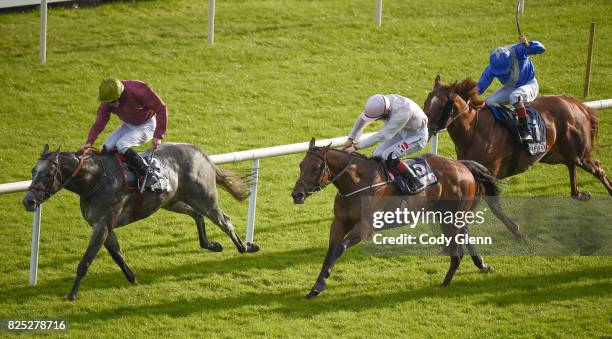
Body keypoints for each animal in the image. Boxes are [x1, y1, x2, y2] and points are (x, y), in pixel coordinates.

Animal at [22, 143, 258, 300]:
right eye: (33, 171)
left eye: (48, 174)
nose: (28, 201)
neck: (94, 180)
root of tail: (201, 153)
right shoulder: (105, 225)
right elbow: (117, 254)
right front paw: (132, 277)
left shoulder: (102, 225)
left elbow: (85, 261)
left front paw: (71, 295)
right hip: (172, 201)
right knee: (197, 215)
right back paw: (211, 244)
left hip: (205, 199)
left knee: (224, 220)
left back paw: (245, 246)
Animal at [292, 138, 520, 300]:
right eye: (300, 165)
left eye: (315, 168)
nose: (297, 195)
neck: (358, 183)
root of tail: (462, 165)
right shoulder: (339, 222)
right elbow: (331, 250)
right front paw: (315, 287)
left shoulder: (365, 227)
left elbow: (340, 248)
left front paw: (320, 284)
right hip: (446, 214)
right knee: (465, 235)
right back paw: (481, 265)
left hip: (451, 215)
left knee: (460, 244)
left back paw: (447, 281)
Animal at [424, 75, 608, 201]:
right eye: (427, 102)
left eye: (440, 106)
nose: (425, 127)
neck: (473, 131)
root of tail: (575, 103)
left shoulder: (489, 174)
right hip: (555, 154)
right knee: (572, 165)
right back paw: (578, 193)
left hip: (580, 154)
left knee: (598, 169)